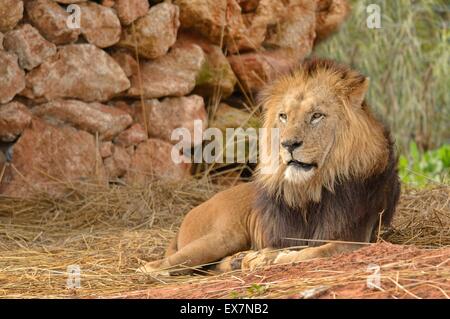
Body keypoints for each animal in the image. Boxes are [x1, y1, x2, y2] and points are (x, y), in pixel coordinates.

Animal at [138, 57, 400, 276]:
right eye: (283, 116)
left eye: (316, 115)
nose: (288, 144)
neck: (312, 187)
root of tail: (192, 211)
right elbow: (304, 251)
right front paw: (267, 257)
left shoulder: (355, 237)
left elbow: (316, 251)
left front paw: (269, 258)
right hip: (222, 236)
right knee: (158, 265)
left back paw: (239, 260)